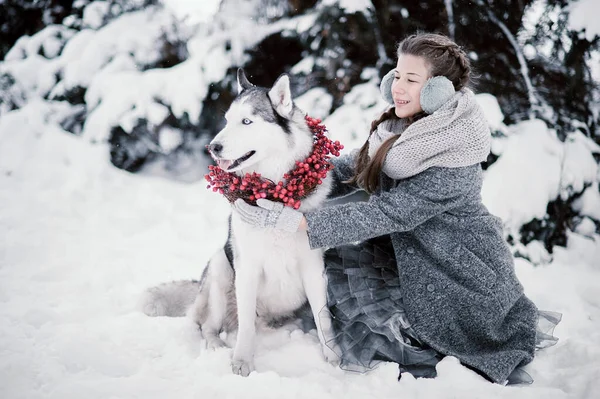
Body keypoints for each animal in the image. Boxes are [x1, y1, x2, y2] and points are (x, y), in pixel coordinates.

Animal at [139, 69, 338, 378]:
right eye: (227, 120)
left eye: (247, 121)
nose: (213, 147)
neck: (273, 192)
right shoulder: (247, 269)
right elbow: (245, 328)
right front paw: (242, 361)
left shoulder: (313, 268)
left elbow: (324, 319)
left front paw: (335, 360)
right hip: (221, 266)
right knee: (208, 326)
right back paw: (215, 346)